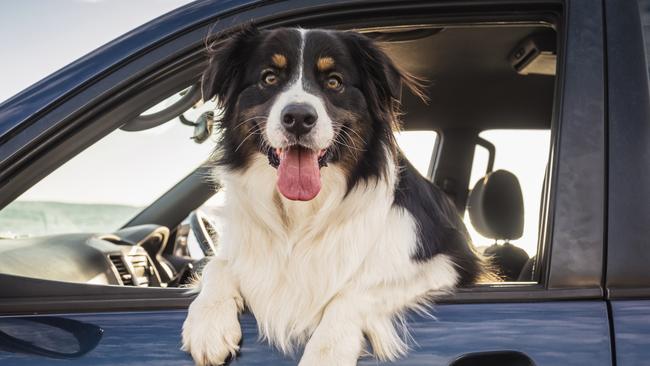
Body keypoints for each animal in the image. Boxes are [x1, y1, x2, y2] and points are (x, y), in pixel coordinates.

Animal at [180, 24, 488, 364]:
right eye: (269, 78)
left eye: (334, 82)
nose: (298, 118)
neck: (300, 215)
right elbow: (217, 265)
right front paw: (208, 324)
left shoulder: (449, 263)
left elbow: (353, 292)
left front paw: (325, 352)